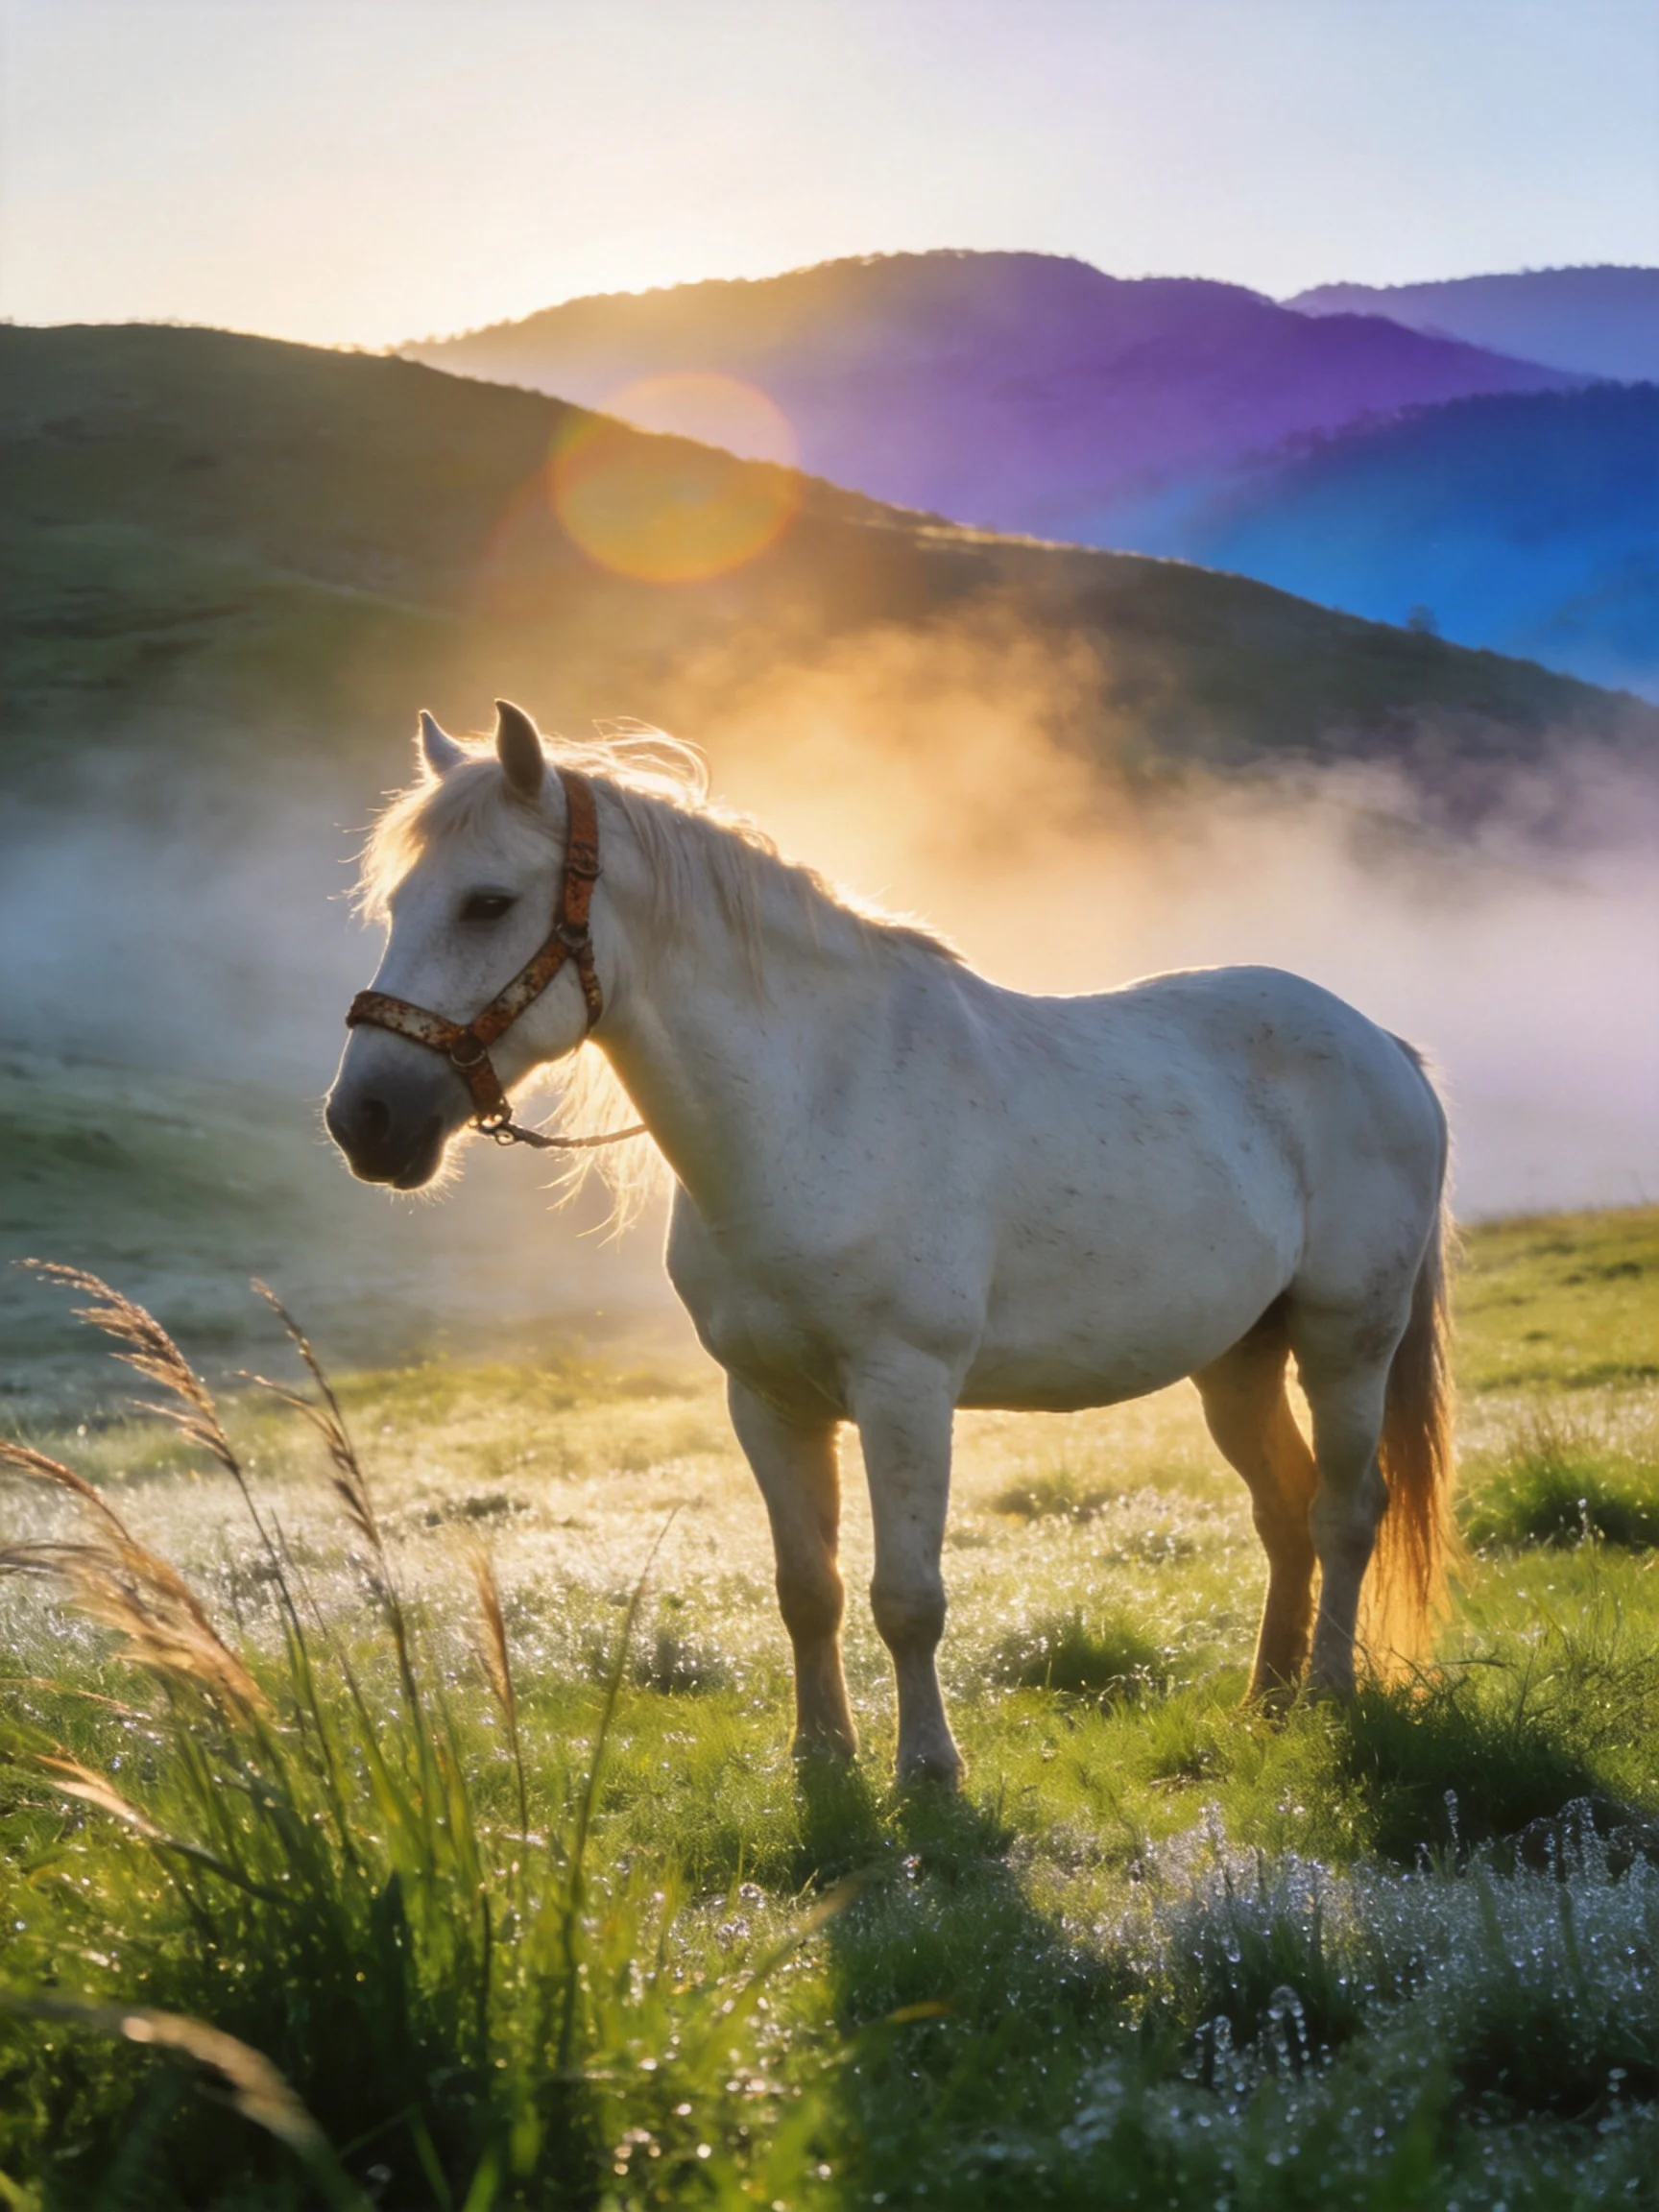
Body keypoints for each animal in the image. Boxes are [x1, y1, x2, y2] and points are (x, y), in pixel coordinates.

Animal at [326, 700, 1454, 1784]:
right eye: (396, 906)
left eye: (487, 902)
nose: (364, 1120)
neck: (813, 1107)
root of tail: (1381, 1045)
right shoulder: (767, 1402)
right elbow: (807, 1590)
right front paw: (821, 1756)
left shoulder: (906, 1389)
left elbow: (907, 1595)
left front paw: (927, 1769)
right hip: (1237, 1356)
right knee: (1286, 1510)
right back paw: (1265, 1703)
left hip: (1347, 1339)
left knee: (1348, 1509)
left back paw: (1327, 1697)